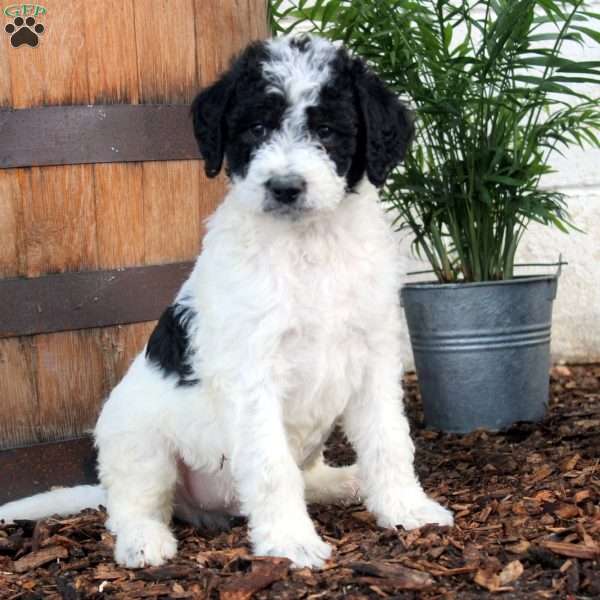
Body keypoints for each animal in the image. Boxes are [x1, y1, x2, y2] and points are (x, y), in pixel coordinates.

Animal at [0, 35, 450, 568]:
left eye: (326, 130)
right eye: (256, 128)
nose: (284, 187)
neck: (307, 247)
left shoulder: (375, 357)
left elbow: (389, 441)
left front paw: (407, 509)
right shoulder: (253, 373)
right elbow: (272, 466)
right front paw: (290, 542)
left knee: (307, 475)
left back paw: (344, 480)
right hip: (138, 441)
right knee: (132, 506)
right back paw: (143, 541)